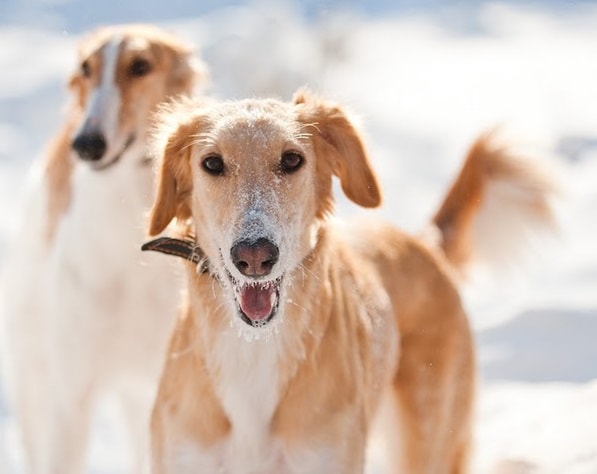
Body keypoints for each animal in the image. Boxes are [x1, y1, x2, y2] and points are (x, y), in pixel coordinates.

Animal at [144, 90, 556, 472]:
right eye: (212, 163)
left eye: (291, 159)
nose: (254, 257)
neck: (253, 348)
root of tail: (423, 242)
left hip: (427, 441)